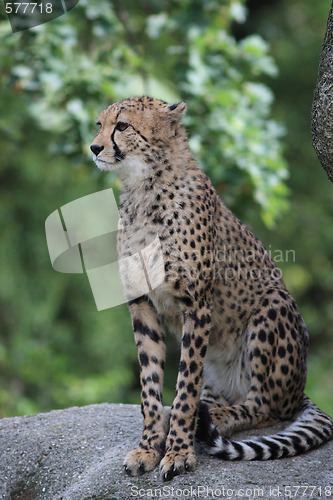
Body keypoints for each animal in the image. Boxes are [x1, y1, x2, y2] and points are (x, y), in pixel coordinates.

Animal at [90, 96, 332, 480]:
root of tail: (300, 387)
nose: (94, 147)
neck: (144, 188)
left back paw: (212, 420)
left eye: (122, 126)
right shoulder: (142, 304)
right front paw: (148, 446)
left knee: (263, 407)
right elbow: (149, 383)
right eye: (99, 124)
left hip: (273, 304)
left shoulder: (196, 306)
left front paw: (178, 452)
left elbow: (186, 384)